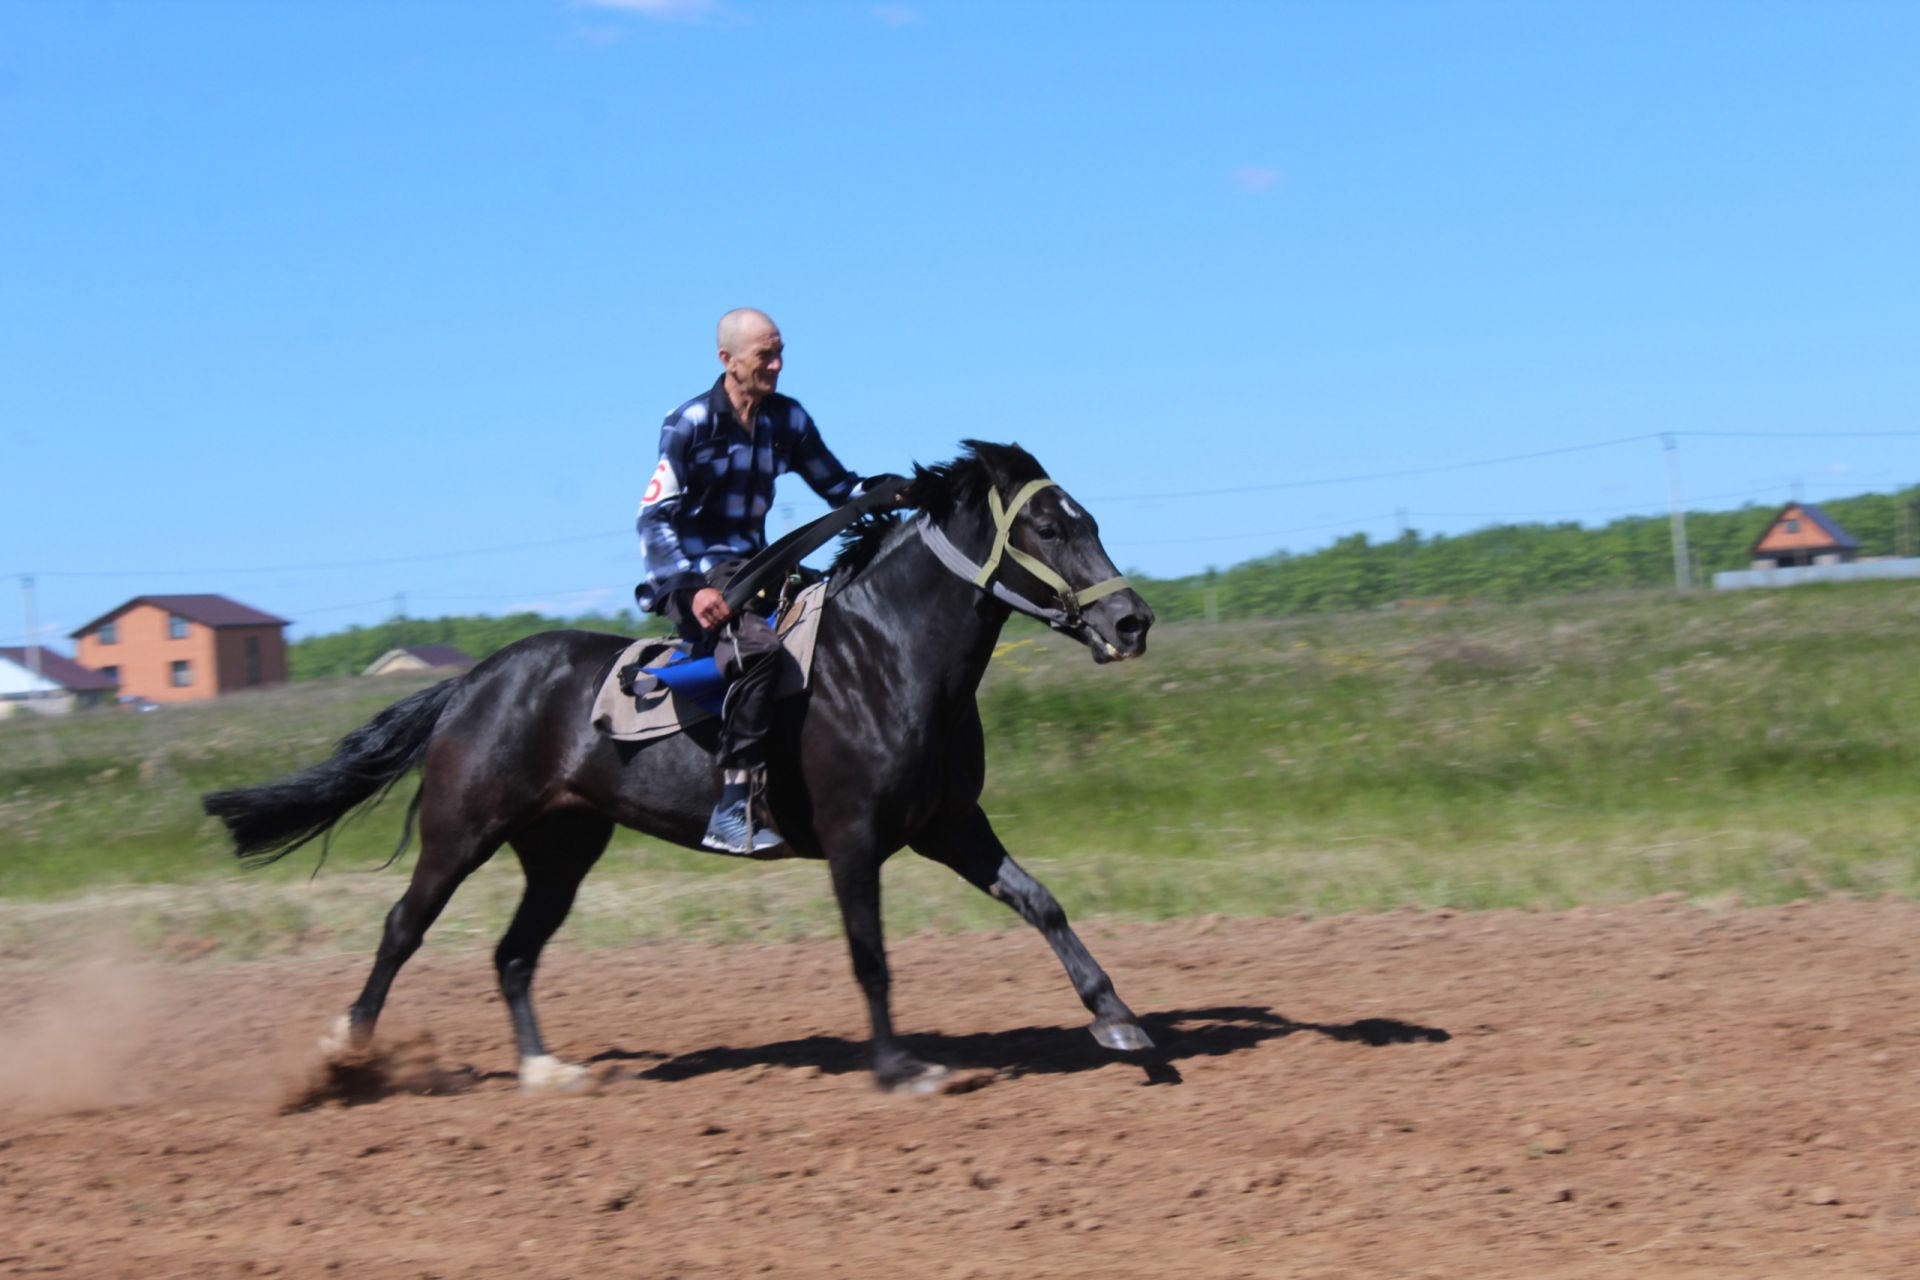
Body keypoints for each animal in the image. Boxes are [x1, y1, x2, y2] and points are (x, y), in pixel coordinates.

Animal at [202, 441, 1152, 1090]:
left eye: (1093, 521)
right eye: (1049, 525)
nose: (1133, 621)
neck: (887, 660)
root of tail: (474, 680)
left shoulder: (949, 825)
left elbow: (1041, 902)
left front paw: (1120, 1021)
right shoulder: (854, 838)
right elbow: (870, 954)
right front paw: (896, 1066)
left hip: (562, 847)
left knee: (513, 954)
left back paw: (545, 1070)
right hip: (461, 829)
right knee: (404, 928)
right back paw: (346, 1051)